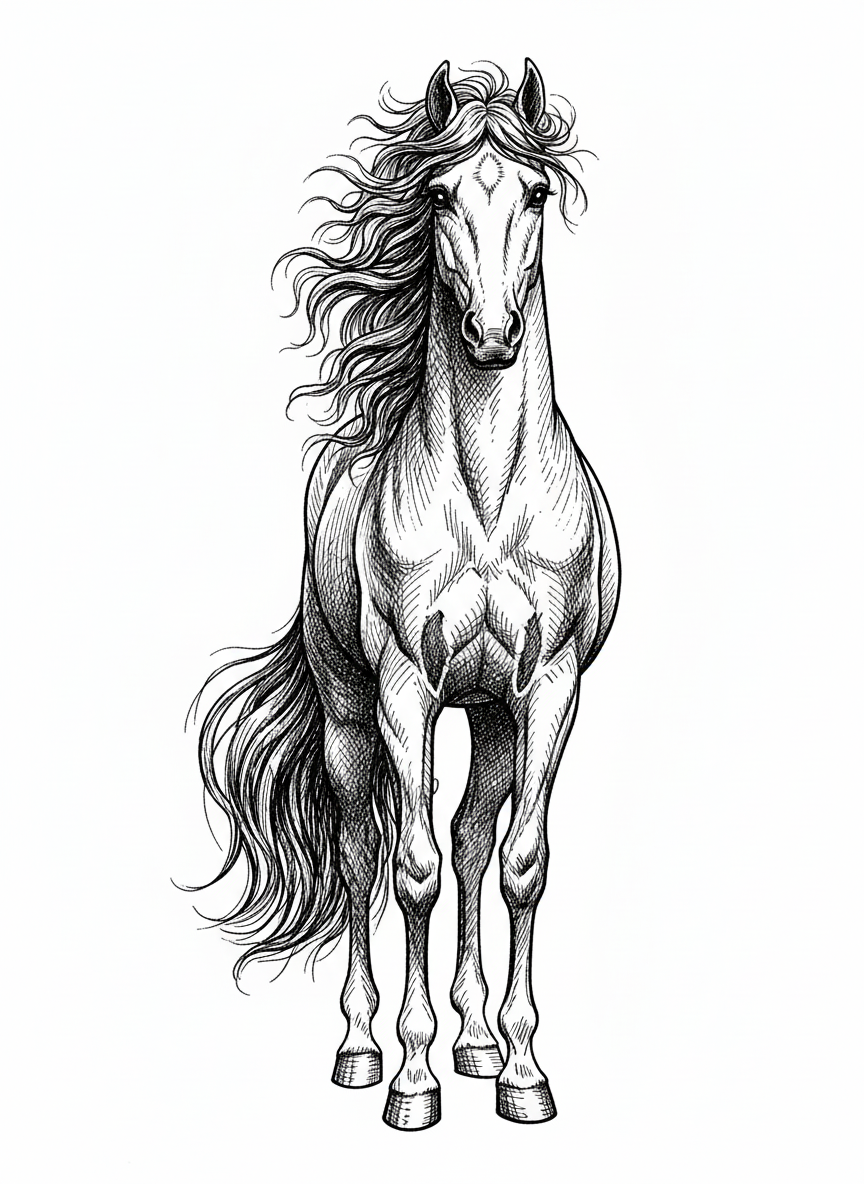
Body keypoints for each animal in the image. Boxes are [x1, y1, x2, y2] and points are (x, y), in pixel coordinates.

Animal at [192, 59, 620, 1131]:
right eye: (439, 194)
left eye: (536, 192)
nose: (494, 334)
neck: (486, 495)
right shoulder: (403, 691)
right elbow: (410, 872)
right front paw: (411, 1079)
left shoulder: (549, 691)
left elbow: (517, 864)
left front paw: (521, 1073)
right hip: (352, 719)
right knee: (361, 858)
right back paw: (362, 1046)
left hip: (494, 716)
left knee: (470, 840)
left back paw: (477, 1040)